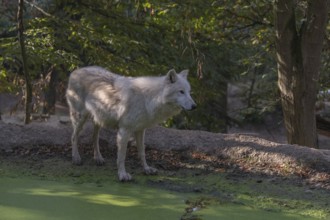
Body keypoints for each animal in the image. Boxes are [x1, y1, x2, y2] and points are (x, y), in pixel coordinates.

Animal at [66, 66, 196, 181]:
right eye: (181, 92)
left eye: (189, 92)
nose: (195, 106)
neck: (149, 98)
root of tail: (76, 71)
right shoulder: (124, 131)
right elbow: (122, 156)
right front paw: (122, 175)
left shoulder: (140, 130)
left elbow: (142, 152)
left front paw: (147, 169)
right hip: (81, 118)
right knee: (73, 136)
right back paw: (76, 158)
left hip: (99, 119)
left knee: (94, 138)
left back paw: (98, 158)